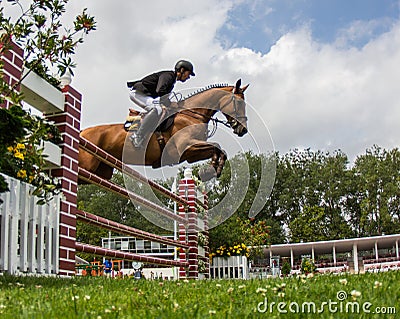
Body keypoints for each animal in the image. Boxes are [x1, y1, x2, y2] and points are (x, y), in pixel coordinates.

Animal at [78, 79, 248, 181]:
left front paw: (211, 171)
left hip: (101, 171)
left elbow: (219, 150)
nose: (243, 130)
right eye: (239, 103)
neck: (191, 114)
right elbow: (217, 147)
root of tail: (81, 132)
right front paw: (211, 170)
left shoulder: (189, 155)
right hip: (87, 165)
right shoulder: (187, 147)